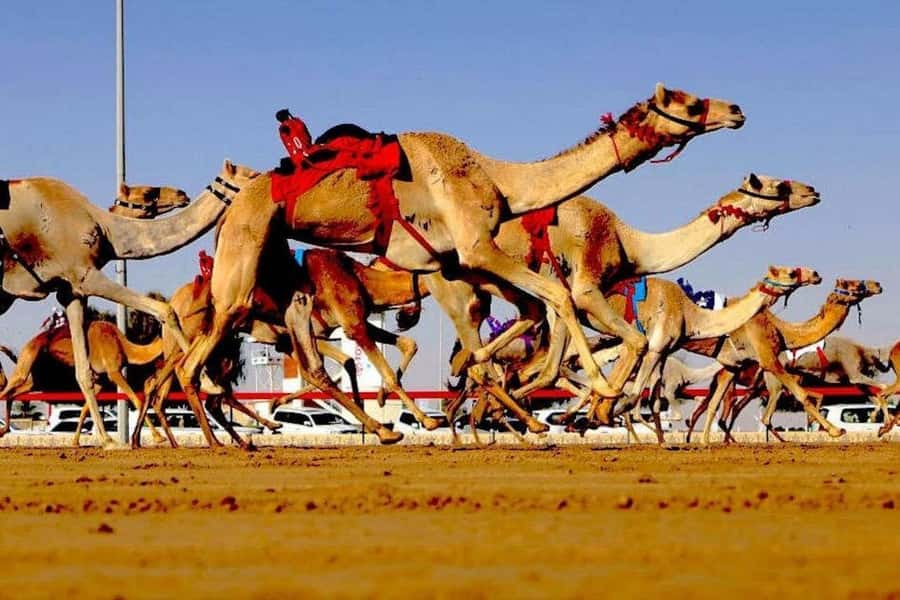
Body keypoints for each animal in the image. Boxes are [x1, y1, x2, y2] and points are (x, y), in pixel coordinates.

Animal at [0, 319, 166, 445]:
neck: (124, 347)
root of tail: (29, 343)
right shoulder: (113, 371)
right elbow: (136, 399)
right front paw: (159, 437)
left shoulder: (99, 381)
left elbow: (85, 409)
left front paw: (75, 442)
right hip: (26, 361)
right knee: (6, 389)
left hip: (34, 379)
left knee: (12, 394)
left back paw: (4, 430)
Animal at [174, 84, 745, 446]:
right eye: (691, 102)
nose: (736, 109)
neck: (500, 181)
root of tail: (238, 202)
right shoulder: (476, 249)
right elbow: (560, 300)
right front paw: (599, 395)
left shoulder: (455, 264)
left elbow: (528, 321)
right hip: (241, 261)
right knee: (193, 359)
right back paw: (227, 442)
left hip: (282, 275)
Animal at [684, 279, 884, 444]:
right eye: (853, 284)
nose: (877, 284)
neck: (780, 329)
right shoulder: (768, 359)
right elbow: (803, 395)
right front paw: (835, 430)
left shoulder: (734, 363)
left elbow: (714, 404)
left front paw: (705, 441)